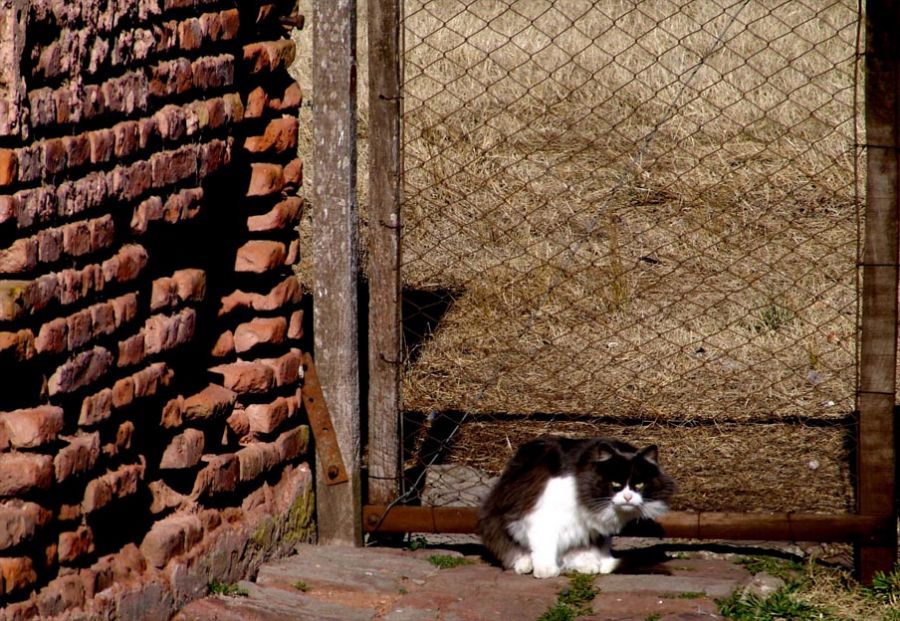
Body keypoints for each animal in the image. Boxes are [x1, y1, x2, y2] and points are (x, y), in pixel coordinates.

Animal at [478, 436, 676, 576]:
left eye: (640, 485)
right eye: (615, 484)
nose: (628, 497)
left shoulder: (592, 528)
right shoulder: (542, 515)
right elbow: (544, 544)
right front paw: (546, 570)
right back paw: (527, 564)